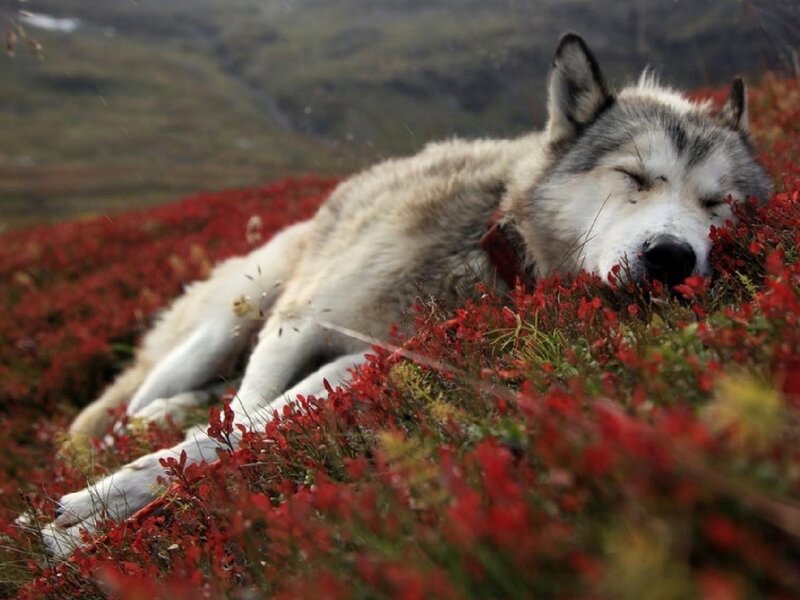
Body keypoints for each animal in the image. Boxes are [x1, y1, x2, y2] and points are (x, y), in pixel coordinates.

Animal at [39, 34, 771, 557]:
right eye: (634, 177)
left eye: (718, 203)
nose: (671, 257)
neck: (487, 246)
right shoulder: (297, 326)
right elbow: (238, 421)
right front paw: (96, 507)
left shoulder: (365, 361)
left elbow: (242, 433)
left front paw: (98, 520)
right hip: (235, 317)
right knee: (122, 407)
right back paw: (122, 431)